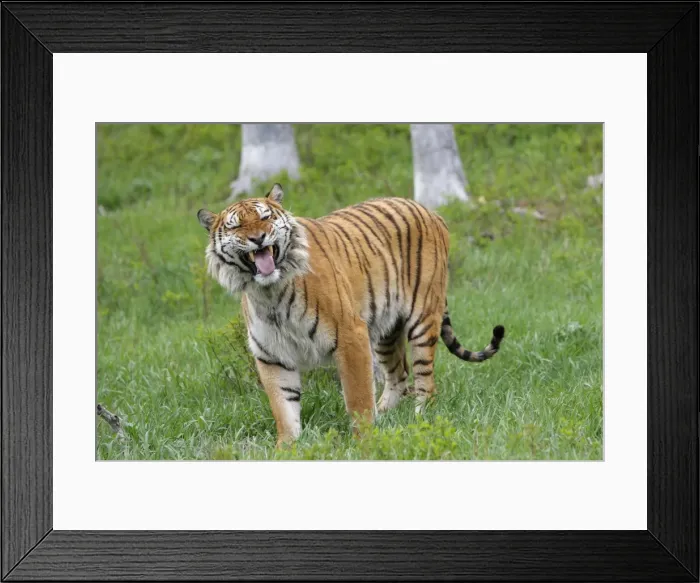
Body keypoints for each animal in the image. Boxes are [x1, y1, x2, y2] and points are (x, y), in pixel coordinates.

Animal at [197, 183, 505, 446]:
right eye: (236, 225)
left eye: (266, 217)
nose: (257, 238)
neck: (269, 292)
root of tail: (432, 211)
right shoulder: (271, 354)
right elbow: (283, 408)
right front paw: (286, 448)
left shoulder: (350, 335)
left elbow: (357, 397)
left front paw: (364, 440)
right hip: (385, 330)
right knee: (398, 375)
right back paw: (388, 415)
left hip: (422, 318)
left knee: (425, 380)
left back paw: (421, 419)